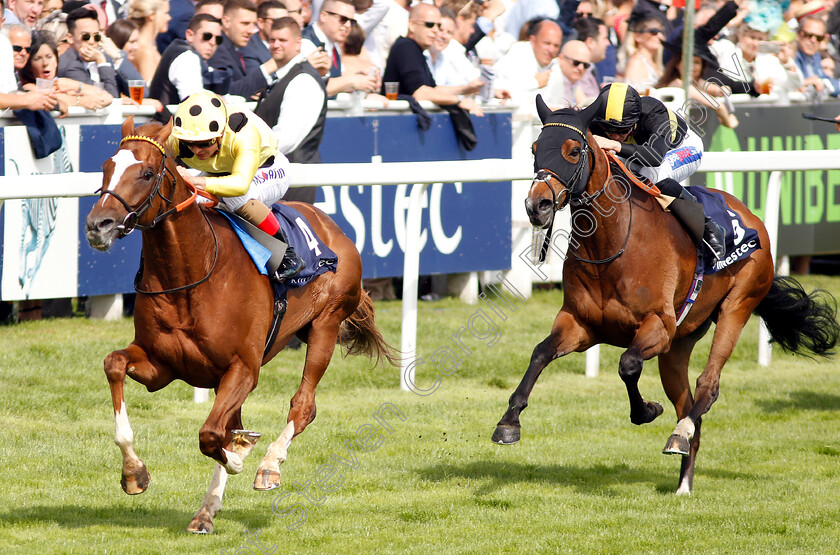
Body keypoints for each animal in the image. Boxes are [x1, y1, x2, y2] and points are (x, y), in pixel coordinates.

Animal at [83, 118, 398, 536]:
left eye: (147, 173)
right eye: (105, 167)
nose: (97, 225)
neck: (193, 272)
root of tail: (333, 227)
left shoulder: (244, 368)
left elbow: (211, 435)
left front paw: (241, 456)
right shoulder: (160, 365)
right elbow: (114, 364)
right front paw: (134, 473)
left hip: (325, 325)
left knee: (302, 406)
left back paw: (268, 465)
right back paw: (206, 510)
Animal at [492, 96, 840, 496]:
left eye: (574, 150)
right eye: (535, 148)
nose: (538, 206)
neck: (610, 244)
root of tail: (753, 219)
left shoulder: (657, 326)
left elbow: (627, 364)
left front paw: (645, 411)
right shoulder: (580, 325)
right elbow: (540, 353)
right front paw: (508, 422)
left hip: (738, 304)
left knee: (708, 386)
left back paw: (679, 433)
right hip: (678, 345)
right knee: (689, 405)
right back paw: (683, 478)